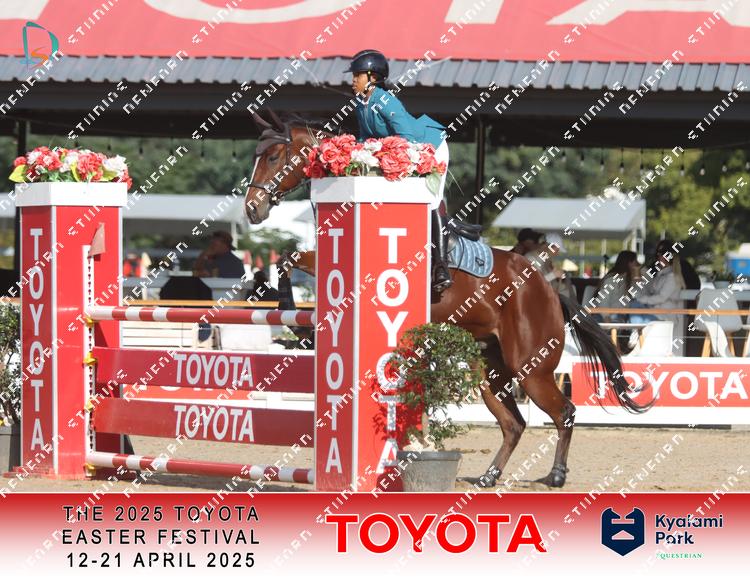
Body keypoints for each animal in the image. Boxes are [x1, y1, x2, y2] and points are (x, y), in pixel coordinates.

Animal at [244, 111, 650, 488]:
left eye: (275, 157)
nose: (252, 208)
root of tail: (548, 290)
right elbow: (288, 260)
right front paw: (295, 322)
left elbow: (300, 267)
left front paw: (294, 318)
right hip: (491, 370)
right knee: (514, 423)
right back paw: (488, 476)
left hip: (530, 369)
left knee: (563, 411)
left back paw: (556, 475)